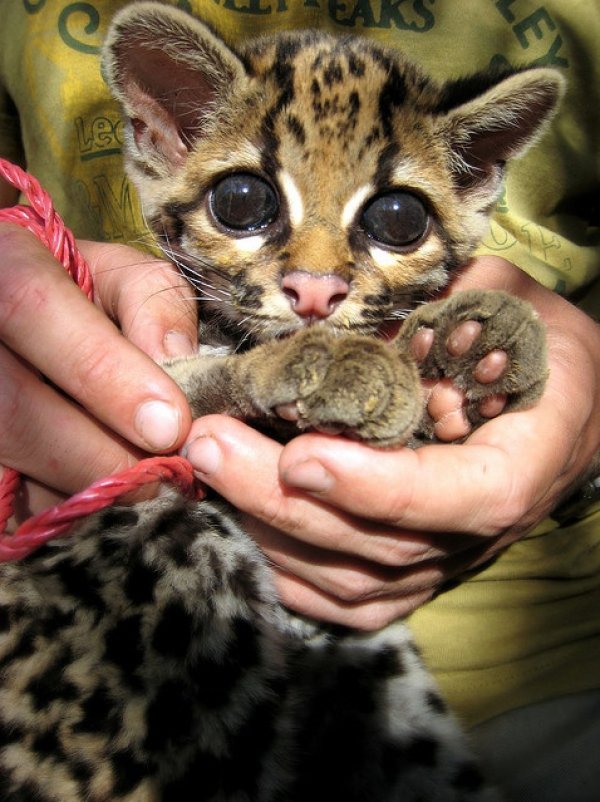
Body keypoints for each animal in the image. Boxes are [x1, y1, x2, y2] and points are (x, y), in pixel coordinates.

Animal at [1, 3, 564, 796]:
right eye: (242, 203)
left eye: (399, 219)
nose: (317, 294)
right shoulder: (154, 390)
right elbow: (193, 382)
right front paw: (329, 362)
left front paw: (476, 350)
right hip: (165, 545)